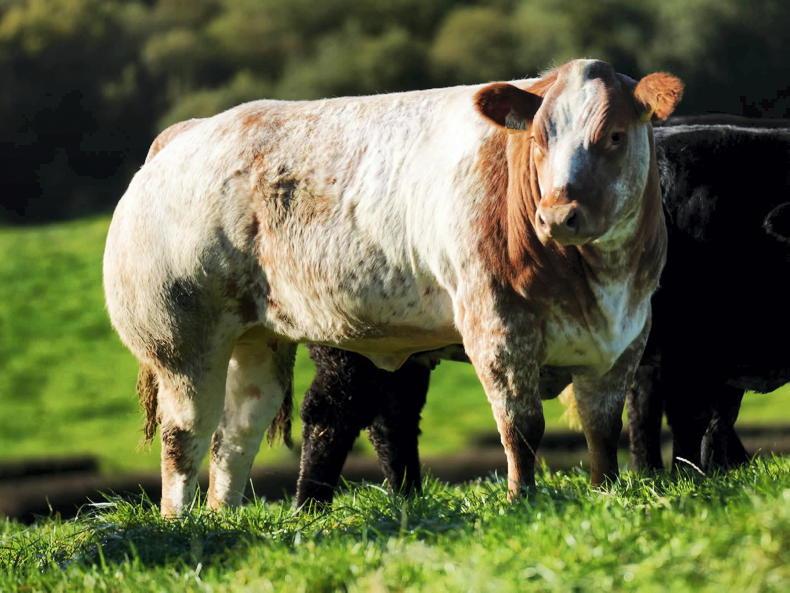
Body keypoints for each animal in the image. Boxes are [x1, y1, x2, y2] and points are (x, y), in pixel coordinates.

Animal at [104, 58, 681, 516]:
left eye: (615, 135)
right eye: (539, 139)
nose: (559, 214)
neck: (598, 280)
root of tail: (189, 132)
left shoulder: (626, 339)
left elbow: (602, 430)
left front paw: (605, 494)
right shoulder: (498, 331)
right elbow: (521, 428)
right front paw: (523, 501)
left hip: (258, 341)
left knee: (235, 435)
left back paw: (224, 515)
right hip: (181, 343)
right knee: (186, 439)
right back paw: (180, 521)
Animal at [294, 124, 790, 507]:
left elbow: (705, 420)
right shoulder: (689, 352)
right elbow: (689, 420)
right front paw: (691, 478)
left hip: (402, 350)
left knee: (393, 417)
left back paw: (407, 498)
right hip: (346, 348)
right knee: (331, 413)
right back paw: (310, 507)